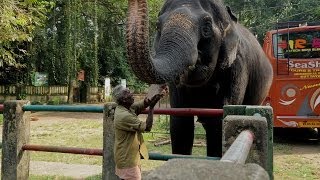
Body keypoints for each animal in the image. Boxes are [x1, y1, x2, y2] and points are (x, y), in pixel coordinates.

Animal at [125, 0, 272, 158]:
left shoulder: (237, 67)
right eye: (158, 26)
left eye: (206, 28)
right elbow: (180, 123)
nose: (155, 94)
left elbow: (219, 121)